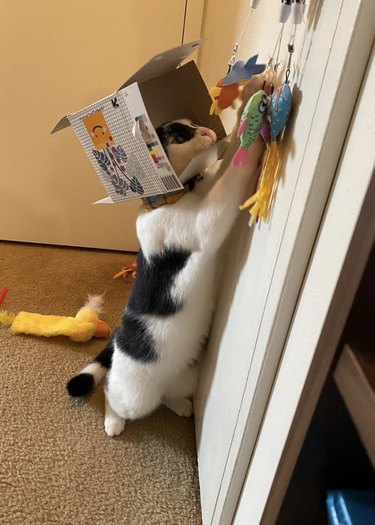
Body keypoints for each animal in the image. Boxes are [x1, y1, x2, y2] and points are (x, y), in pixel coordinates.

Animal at [68, 89, 268, 434]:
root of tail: (118, 337)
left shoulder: (207, 185)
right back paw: (113, 420)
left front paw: (246, 97)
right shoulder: (206, 222)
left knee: (167, 394)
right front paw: (250, 127)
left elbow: (222, 167)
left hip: (185, 376)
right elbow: (231, 176)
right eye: (180, 135)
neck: (177, 194)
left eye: (194, 123)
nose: (207, 131)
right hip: (135, 394)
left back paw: (180, 405)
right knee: (110, 390)